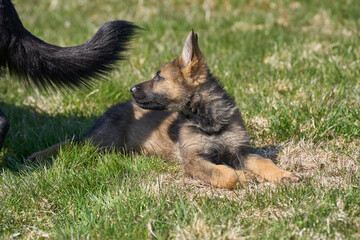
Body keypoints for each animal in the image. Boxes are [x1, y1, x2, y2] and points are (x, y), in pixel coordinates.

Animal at [28, 30, 300, 188]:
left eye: (159, 77)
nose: (131, 88)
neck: (208, 120)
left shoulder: (241, 151)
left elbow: (264, 162)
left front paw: (283, 174)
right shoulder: (194, 160)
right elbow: (226, 174)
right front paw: (244, 178)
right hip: (102, 143)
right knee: (73, 143)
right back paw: (38, 156)